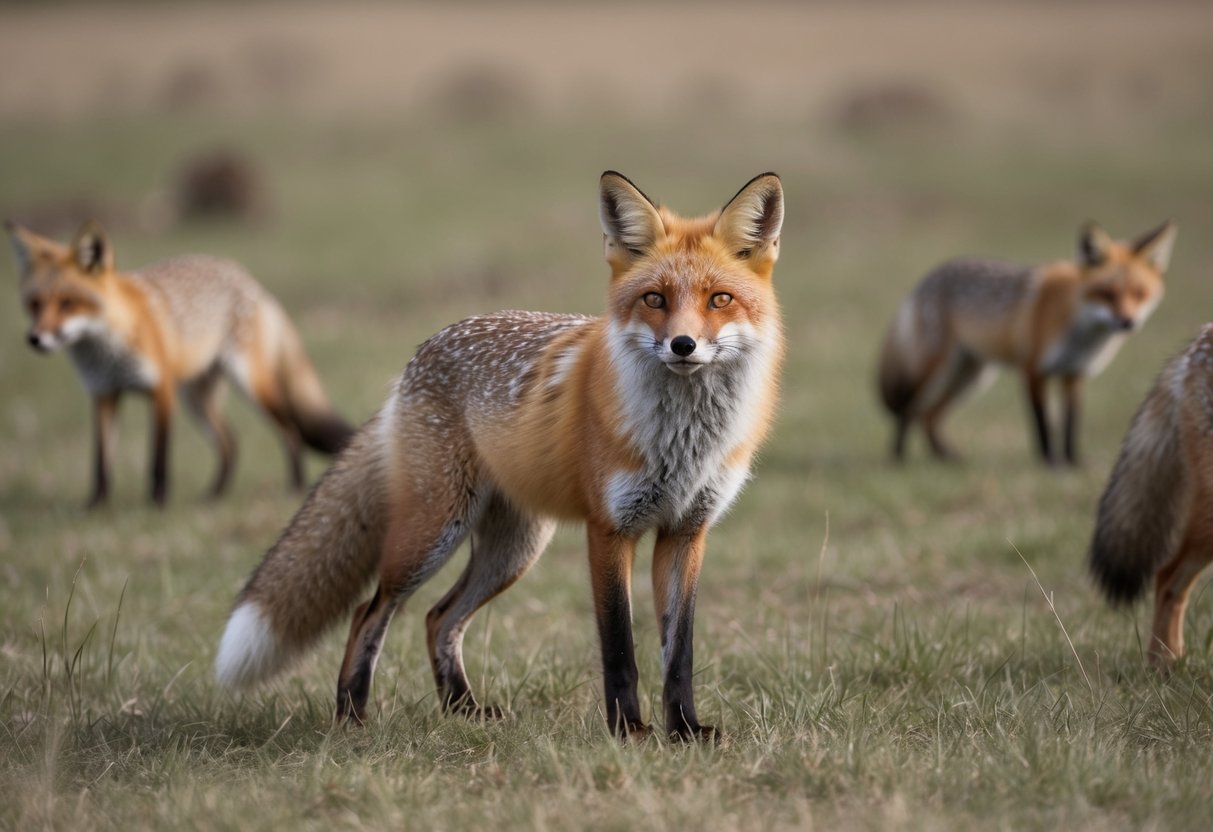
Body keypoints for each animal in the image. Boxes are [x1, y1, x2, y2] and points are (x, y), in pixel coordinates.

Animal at [7, 220, 354, 506]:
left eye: (68, 303)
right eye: (34, 304)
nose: (35, 338)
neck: (108, 351)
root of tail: (249, 280)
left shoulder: (161, 390)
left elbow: (158, 459)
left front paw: (157, 504)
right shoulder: (103, 393)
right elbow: (101, 461)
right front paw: (96, 506)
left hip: (250, 385)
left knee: (290, 430)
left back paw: (294, 487)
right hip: (196, 400)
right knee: (230, 443)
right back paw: (214, 496)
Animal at [215, 172, 786, 741]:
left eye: (719, 299)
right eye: (654, 298)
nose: (683, 345)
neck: (683, 442)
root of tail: (416, 360)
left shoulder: (686, 531)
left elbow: (678, 652)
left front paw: (685, 730)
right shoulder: (609, 530)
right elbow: (620, 647)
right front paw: (627, 730)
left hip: (512, 550)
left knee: (438, 618)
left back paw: (463, 710)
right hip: (432, 535)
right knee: (368, 612)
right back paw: (352, 715)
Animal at [878, 220, 1176, 464]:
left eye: (1139, 293)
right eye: (1106, 293)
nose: (1128, 321)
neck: (1079, 328)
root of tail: (926, 279)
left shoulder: (1075, 373)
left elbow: (1071, 425)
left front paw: (1073, 463)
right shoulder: (1033, 370)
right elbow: (1042, 423)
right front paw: (1050, 464)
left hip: (972, 376)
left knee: (929, 416)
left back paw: (945, 457)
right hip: (937, 370)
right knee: (908, 409)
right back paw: (897, 457)